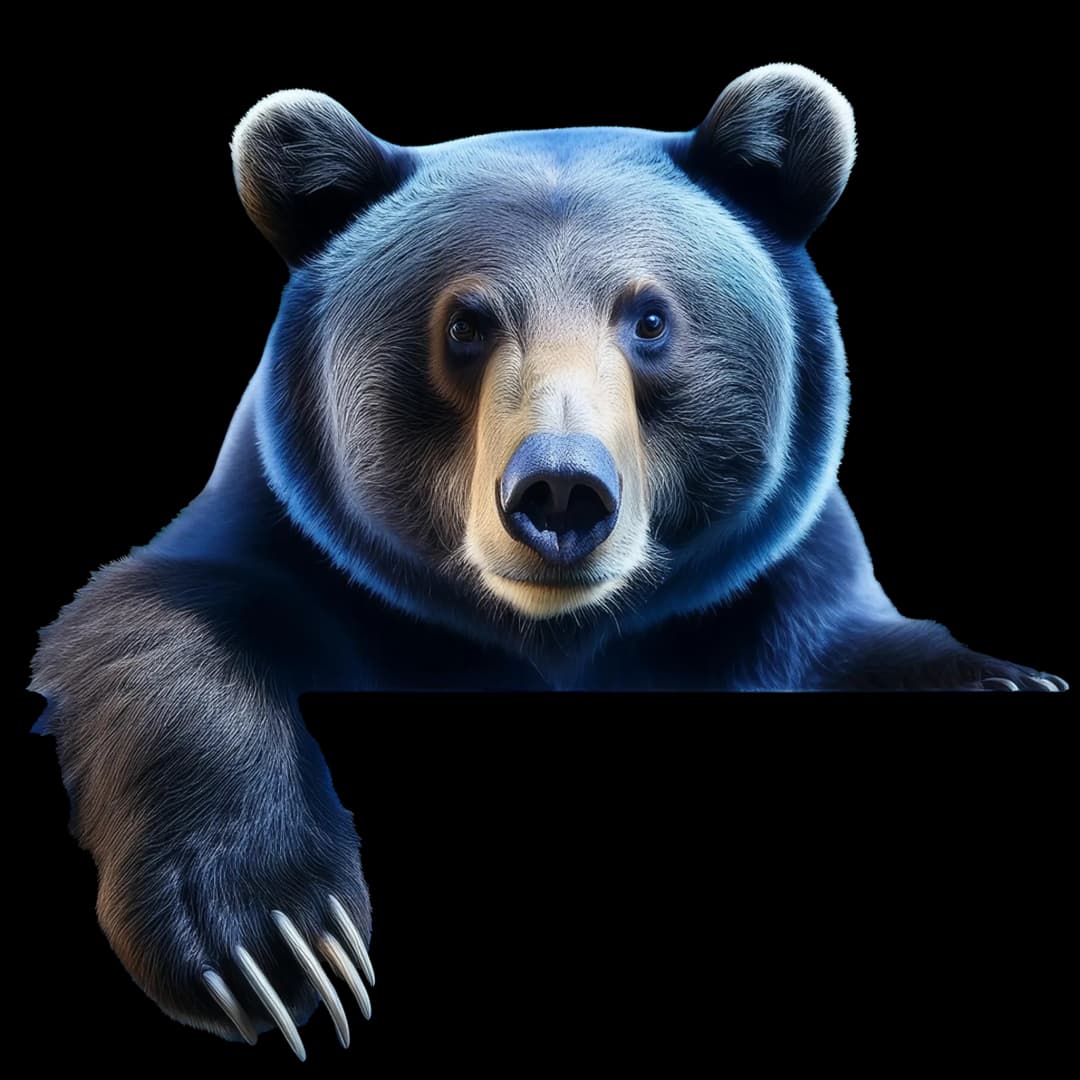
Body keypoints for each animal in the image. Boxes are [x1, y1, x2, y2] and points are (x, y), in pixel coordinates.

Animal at [29, 64, 1068, 1058]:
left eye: (649, 319)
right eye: (466, 323)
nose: (561, 492)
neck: (558, 638)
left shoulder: (771, 575)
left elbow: (844, 637)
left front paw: (1008, 682)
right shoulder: (292, 537)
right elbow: (154, 614)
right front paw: (275, 939)